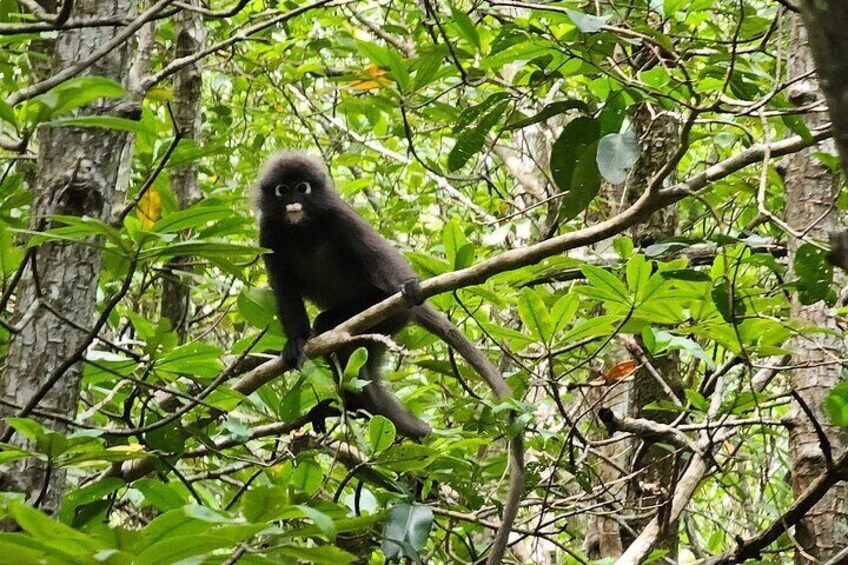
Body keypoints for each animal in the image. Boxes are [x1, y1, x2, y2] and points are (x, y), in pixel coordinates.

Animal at [255, 152, 510, 438]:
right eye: (283, 190)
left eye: (302, 187)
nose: (293, 203)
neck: (301, 229)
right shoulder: (268, 231)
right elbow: (284, 289)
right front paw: (296, 341)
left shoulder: (340, 215)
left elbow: (378, 254)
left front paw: (409, 284)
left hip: (385, 313)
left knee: (331, 327)